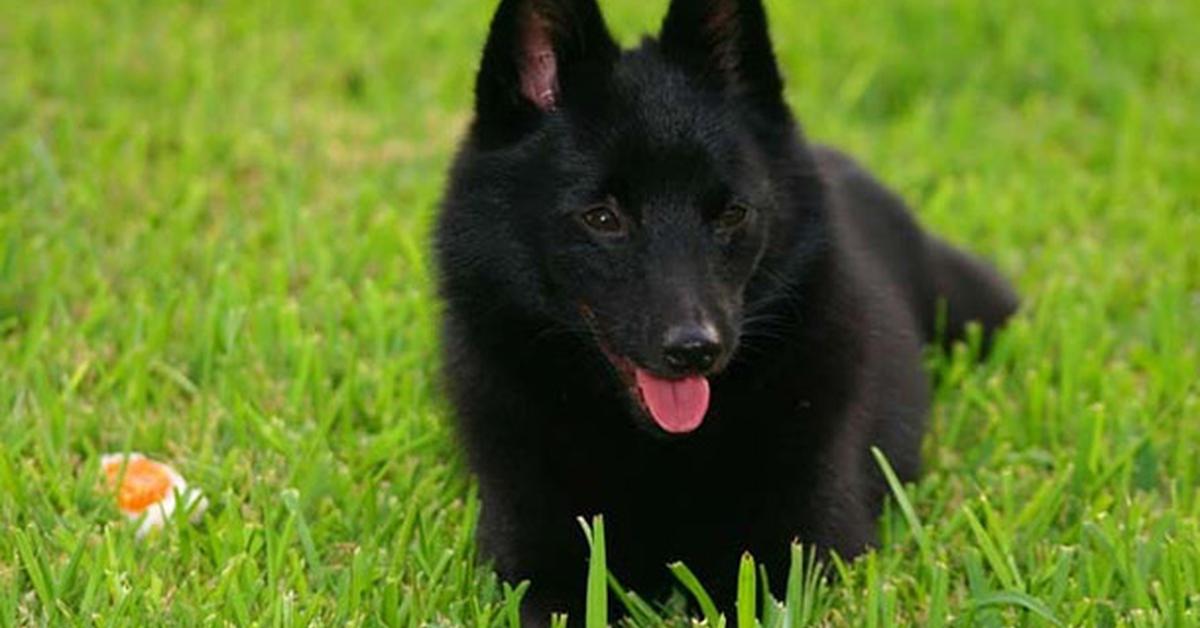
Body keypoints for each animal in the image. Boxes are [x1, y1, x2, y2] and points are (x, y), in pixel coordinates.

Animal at [436, 0, 1017, 619]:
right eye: (603, 217)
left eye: (732, 213)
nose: (695, 349)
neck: (661, 452)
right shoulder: (540, 567)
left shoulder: (796, 557)